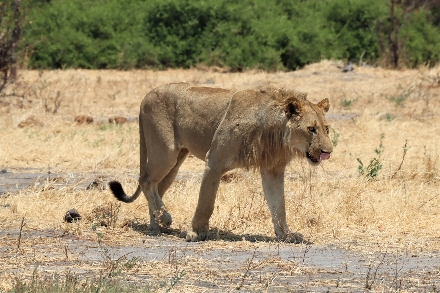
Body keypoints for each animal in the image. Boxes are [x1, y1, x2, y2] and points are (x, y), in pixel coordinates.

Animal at [108, 82, 332, 242]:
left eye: (326, 128)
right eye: (311, 129)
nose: (327, 152)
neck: (274, 129)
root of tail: (145, 97)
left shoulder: (273, 171)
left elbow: (279, 205)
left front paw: (286, 235)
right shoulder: (214, 161)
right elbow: (206, 202)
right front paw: (196, 233)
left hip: (176, 161)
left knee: (157, 187)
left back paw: (156, 225)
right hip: (166, 152)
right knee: (145, 180)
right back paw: (164, 219)